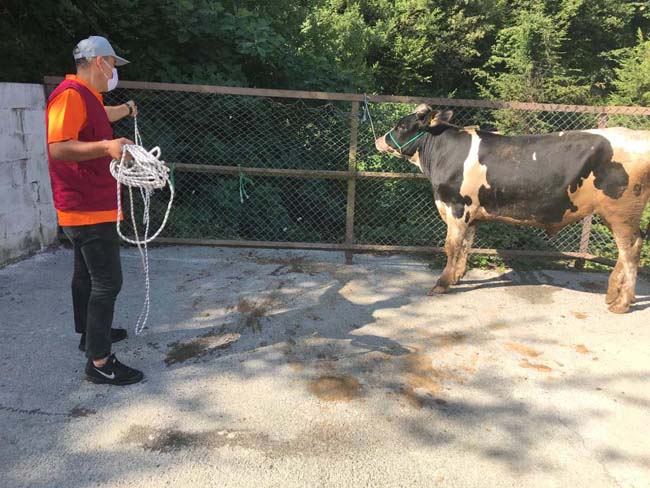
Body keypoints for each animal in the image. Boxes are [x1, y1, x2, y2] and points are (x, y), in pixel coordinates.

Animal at [375, 104, 650, 313]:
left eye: (402, 126)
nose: (379, 140)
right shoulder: (471, 213)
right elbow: (466, 245)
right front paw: (457, 276)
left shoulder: (456, 206)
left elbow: (451, 246)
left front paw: (442, 284)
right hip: (616, 214)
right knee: (628, 249)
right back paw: (612, 294)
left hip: (622, 212)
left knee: (630, 249)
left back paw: (621, 303)